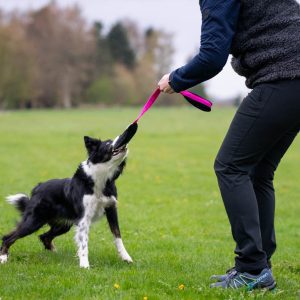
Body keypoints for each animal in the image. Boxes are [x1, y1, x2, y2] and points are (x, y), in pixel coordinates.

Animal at [0, 123, 138, 268]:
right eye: (108, 143)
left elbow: (117, 235)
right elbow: (84, 243)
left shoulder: (111, 209)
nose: (125, 140)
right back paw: (3, 258)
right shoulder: (83, 218)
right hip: (34, 221)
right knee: (8, 237)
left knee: (44, 237)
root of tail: (37, 188)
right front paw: (84, 266)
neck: (101, 178)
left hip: (63, 225)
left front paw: (126, 258)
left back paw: (56, 254)